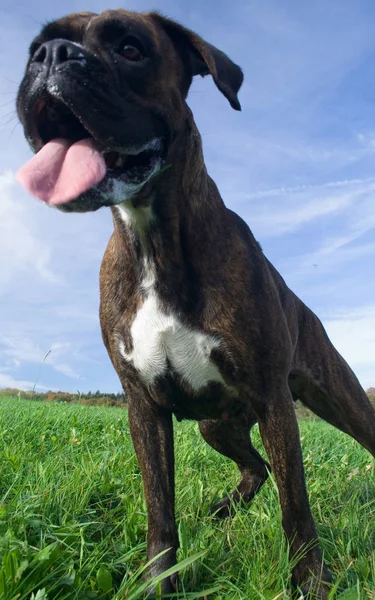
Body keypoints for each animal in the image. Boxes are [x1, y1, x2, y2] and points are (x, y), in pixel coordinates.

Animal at [16, 9, 374, 600]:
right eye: (36, 48)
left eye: (130, 48)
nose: (52, 56)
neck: (152, 237)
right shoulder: (144, 407)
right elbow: (159, 508)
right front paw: (160, 582)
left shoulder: (275, 400)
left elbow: (296, 505)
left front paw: (310, 583)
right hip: (218, 425)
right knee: (256, 468)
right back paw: (226, 508)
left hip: (336, 398)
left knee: (297, 460)